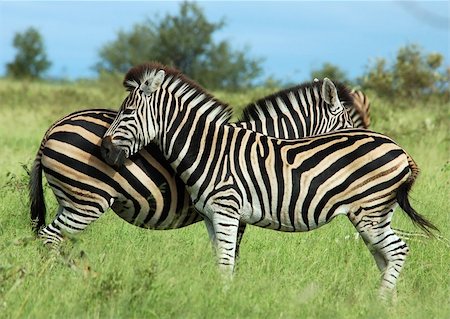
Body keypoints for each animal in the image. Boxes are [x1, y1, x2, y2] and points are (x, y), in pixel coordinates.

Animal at [30, 77, 356, 245]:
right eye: (350, 129)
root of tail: (53, 126)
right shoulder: (236, 213)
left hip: (69, 199)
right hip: (87, 200)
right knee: (51, 238)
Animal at [101, 62, 436, 298]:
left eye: (127, 112)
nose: (104, 149)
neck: (208, 148)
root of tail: (401, 150)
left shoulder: (228, 212)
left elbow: (226, 264)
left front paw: (223, 301)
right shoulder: (213, 216)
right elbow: (222, 262)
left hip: (370, 212)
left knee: (397, 251)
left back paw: (379, 302)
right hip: (375, 214)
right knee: (387, 256)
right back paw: (386, 303)